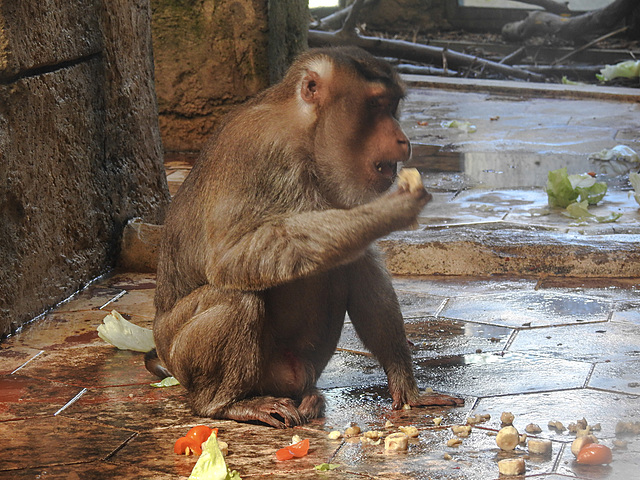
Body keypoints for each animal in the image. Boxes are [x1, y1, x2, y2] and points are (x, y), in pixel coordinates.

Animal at [147, 46, 462, 428]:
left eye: (392, 106)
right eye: (375, 106)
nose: (403, 140)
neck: (306, 134)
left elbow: (363, 264)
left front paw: (408, 389)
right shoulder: (256, 150)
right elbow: (228, 258)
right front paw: (391, 211)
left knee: (342, 265)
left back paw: (305, 394)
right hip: (181, 354)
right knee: (237, 296)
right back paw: (224, 404)